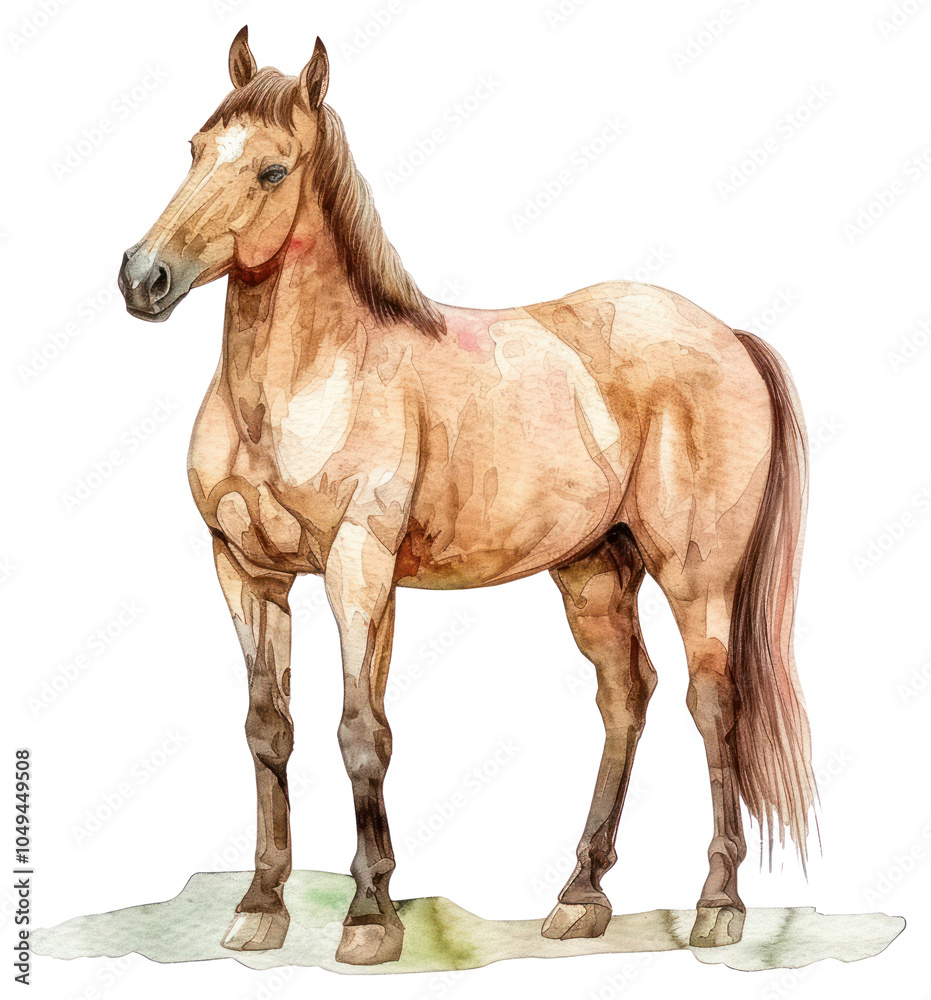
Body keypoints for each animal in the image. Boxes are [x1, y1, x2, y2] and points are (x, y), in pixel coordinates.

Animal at [118, 26, 817, 966]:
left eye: (271, 169)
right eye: (195, 149)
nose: (143, 278)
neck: (309, 377)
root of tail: (727, 336)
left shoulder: (359, 569)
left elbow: (361, 730)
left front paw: (369, 917)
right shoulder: (245, 571)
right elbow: (269, 729)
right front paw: (260, 907)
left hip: (694, 575)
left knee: (711, 705)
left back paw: (718, 904)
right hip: (593, 570)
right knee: (624, 697)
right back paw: (580, 897)